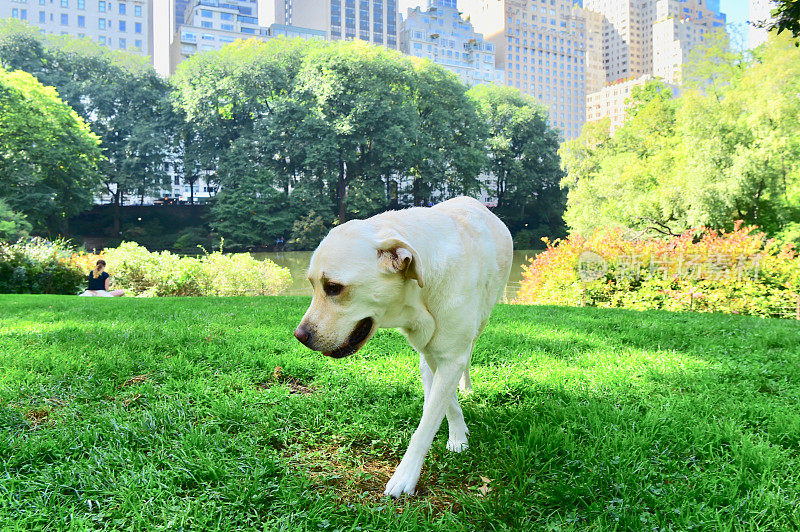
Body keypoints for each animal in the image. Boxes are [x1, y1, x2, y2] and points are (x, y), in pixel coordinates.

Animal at [294, 196, 512, 498]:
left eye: (334, 287)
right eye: (312, 285)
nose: (299, 335)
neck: (421, 292)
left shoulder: (451, 355)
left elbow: (428, 424)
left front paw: (407, 473)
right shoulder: (436, 353)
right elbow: (446, 405)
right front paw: (457, 432)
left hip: (480, 322)